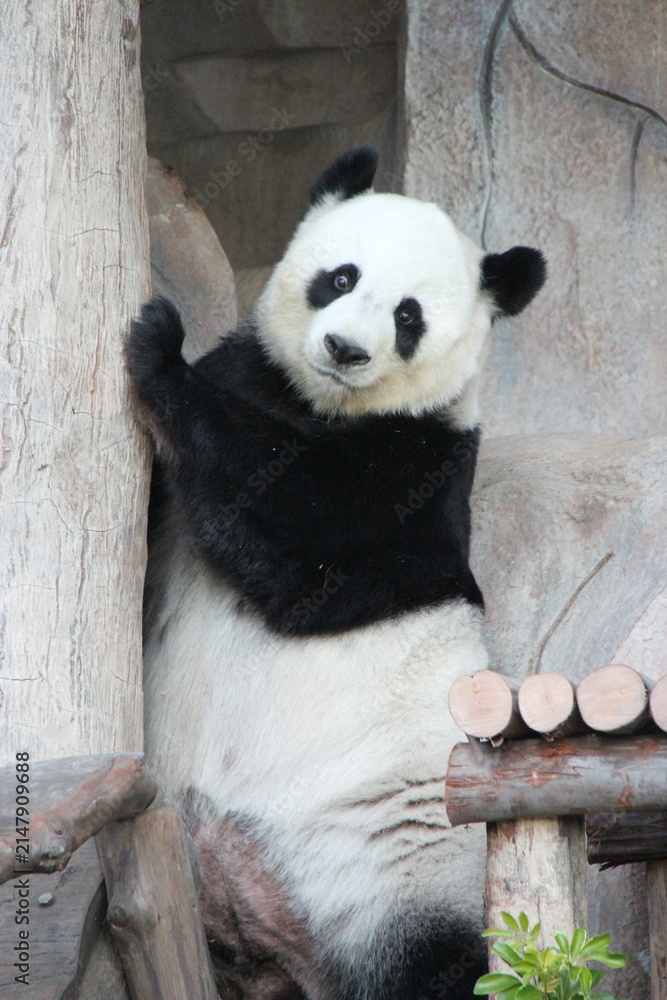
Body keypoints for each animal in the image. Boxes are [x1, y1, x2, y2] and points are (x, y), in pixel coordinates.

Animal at [126, 147, 546, 1000]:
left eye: (409, 316)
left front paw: (160, 351)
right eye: (341, 277)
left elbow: (307, 529)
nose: (346, 349)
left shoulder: (422, 466)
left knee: (434, 965)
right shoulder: (260, 373)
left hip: (408, 866)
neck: (320, 403)